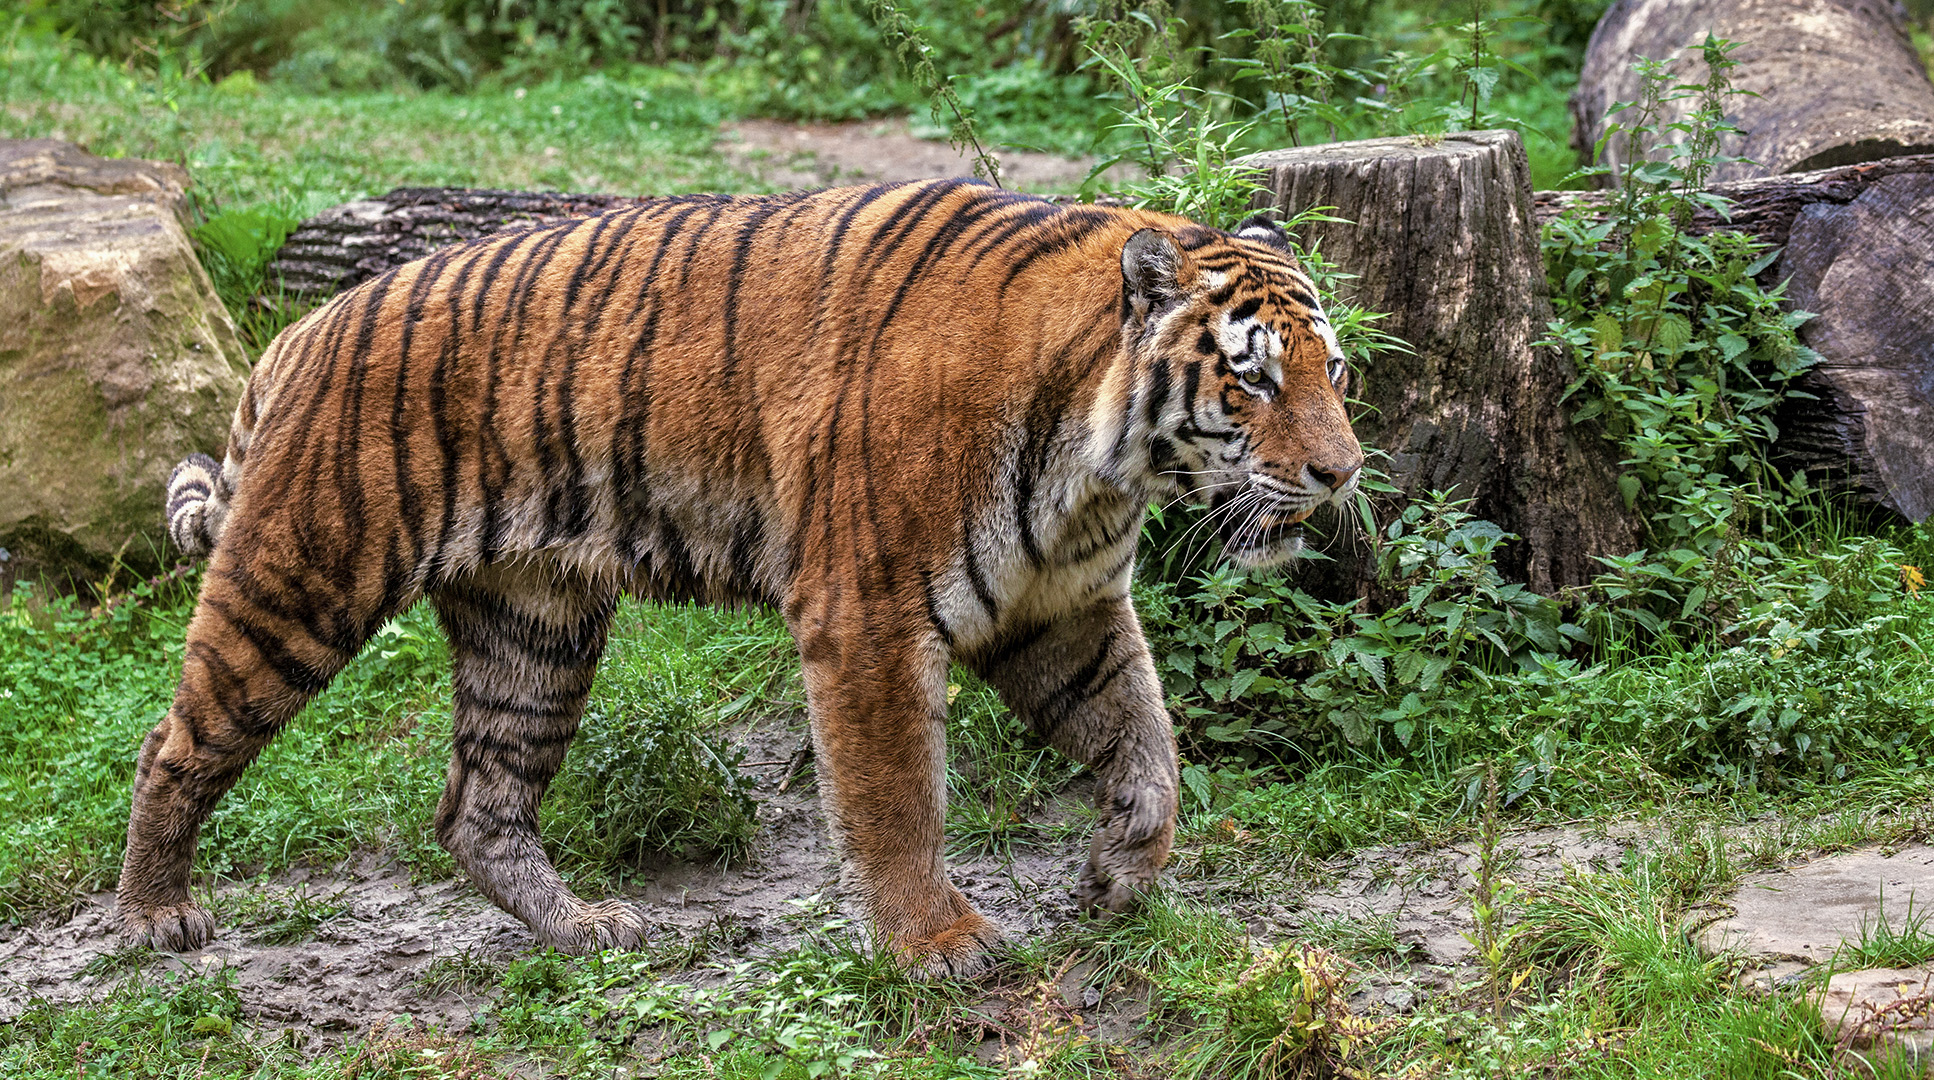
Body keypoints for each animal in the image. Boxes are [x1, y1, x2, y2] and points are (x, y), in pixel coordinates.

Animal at [117, 180, 1361, 983]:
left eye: (1335, 373)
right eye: (1251, 381)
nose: (1341, 471)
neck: (1098, 467)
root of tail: (302, 331)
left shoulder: (1058, 606)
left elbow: (1146, 744)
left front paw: (1119, 879)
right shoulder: (867, 615)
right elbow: (897, 798)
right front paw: (938, 947)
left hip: (536, 627)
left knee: (479, 803)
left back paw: (585, 933)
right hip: (303, 577)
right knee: (174, 743)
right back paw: (153, 919)